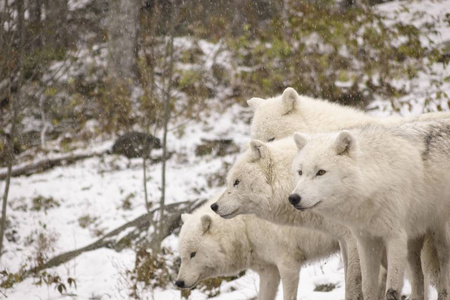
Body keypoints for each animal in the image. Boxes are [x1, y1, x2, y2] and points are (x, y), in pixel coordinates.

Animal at [176, 195, 338, 300]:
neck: (245, 228)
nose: (179, 282)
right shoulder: (268, 269)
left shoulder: (288, 263)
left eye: (193, 254)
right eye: (182, 256)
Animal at [288, 120, 450, 300]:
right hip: (413, 243)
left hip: (440, 238)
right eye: (300, 172)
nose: (293, 198)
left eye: (321, 172)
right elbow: (368, 287)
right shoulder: (366, 241)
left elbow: (391, 290)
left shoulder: (396, 237)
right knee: (418, 278)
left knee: (444, 269)